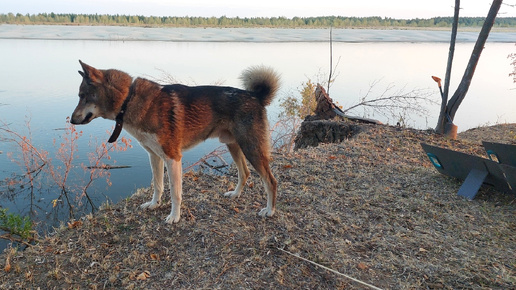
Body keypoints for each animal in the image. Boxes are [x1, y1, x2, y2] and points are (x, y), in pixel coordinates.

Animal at [71, 60, 280, 224]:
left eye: (83, 96)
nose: (71, 120)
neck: (129, 99)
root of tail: (256, 96)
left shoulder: (172, 158)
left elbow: (175, 192)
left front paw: (174, 217)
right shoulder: (154, 156)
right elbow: (157, 185)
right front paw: (154, 205)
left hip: (251, 148)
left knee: (271, 181)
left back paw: (269, 211)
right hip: (234, 146)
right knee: (244, 173)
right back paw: (235, 194)